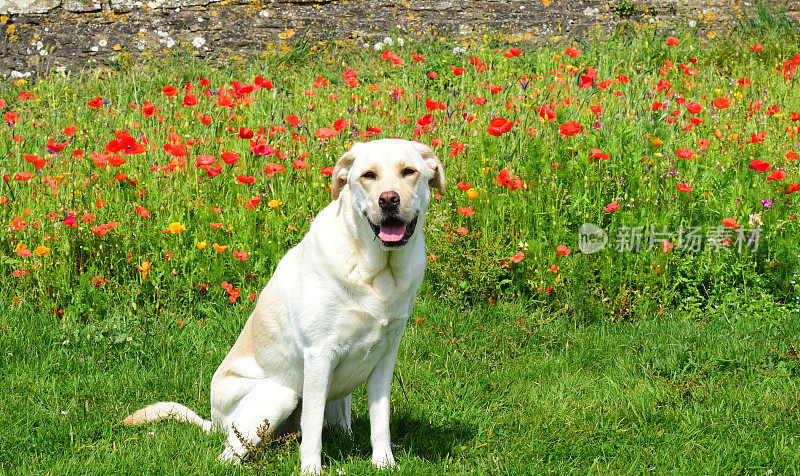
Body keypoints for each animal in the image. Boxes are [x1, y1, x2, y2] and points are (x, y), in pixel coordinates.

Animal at [128, 138, 446, 472]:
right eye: (368, 175)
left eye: (408, 171)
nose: (388, 200)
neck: (377, 270)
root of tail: (213, 421)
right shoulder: (319, 356)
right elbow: (312, 429)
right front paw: (311, 470)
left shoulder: (385, 357)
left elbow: (380, 420)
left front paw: (384, 464)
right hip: (279, 396)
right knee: (228, 455)